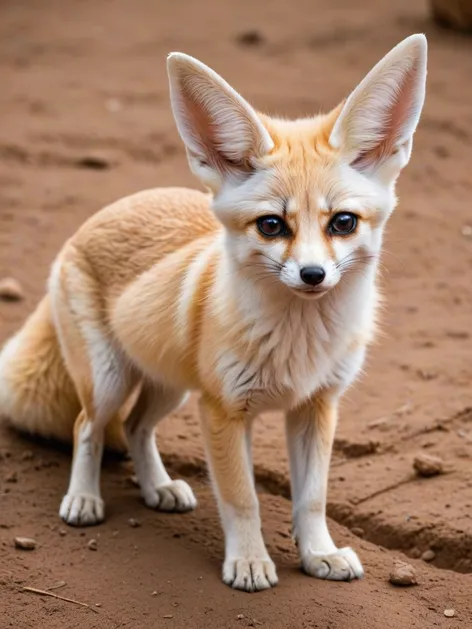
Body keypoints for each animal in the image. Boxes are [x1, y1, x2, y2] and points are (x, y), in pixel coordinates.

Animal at [0, 35, 428, 588]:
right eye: (271, 225)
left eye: (343, 222)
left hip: (172, 386)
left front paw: (319, 554)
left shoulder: (315, 406)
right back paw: (84, 497)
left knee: (135, 428)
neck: (299, 343)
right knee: (86, 427)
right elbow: (242, 498)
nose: (313, 275)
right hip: (112, 379)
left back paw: (158, 488)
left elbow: (312, 499)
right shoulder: (223, 410)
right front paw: (248, 562)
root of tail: (106, 211)